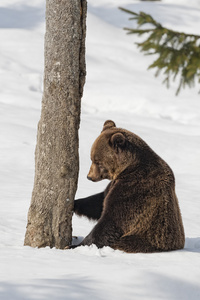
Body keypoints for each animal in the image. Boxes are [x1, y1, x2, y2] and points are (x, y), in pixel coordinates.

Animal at [71, 120, 185, 253]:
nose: (89, 176)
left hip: (139, 240)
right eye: (91, 158)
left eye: (97, 161)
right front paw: (75, 203)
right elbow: (99, 202)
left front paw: (75, 245)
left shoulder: (133, 190)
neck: (127, 170)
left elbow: (112, 221)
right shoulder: (115, 185)